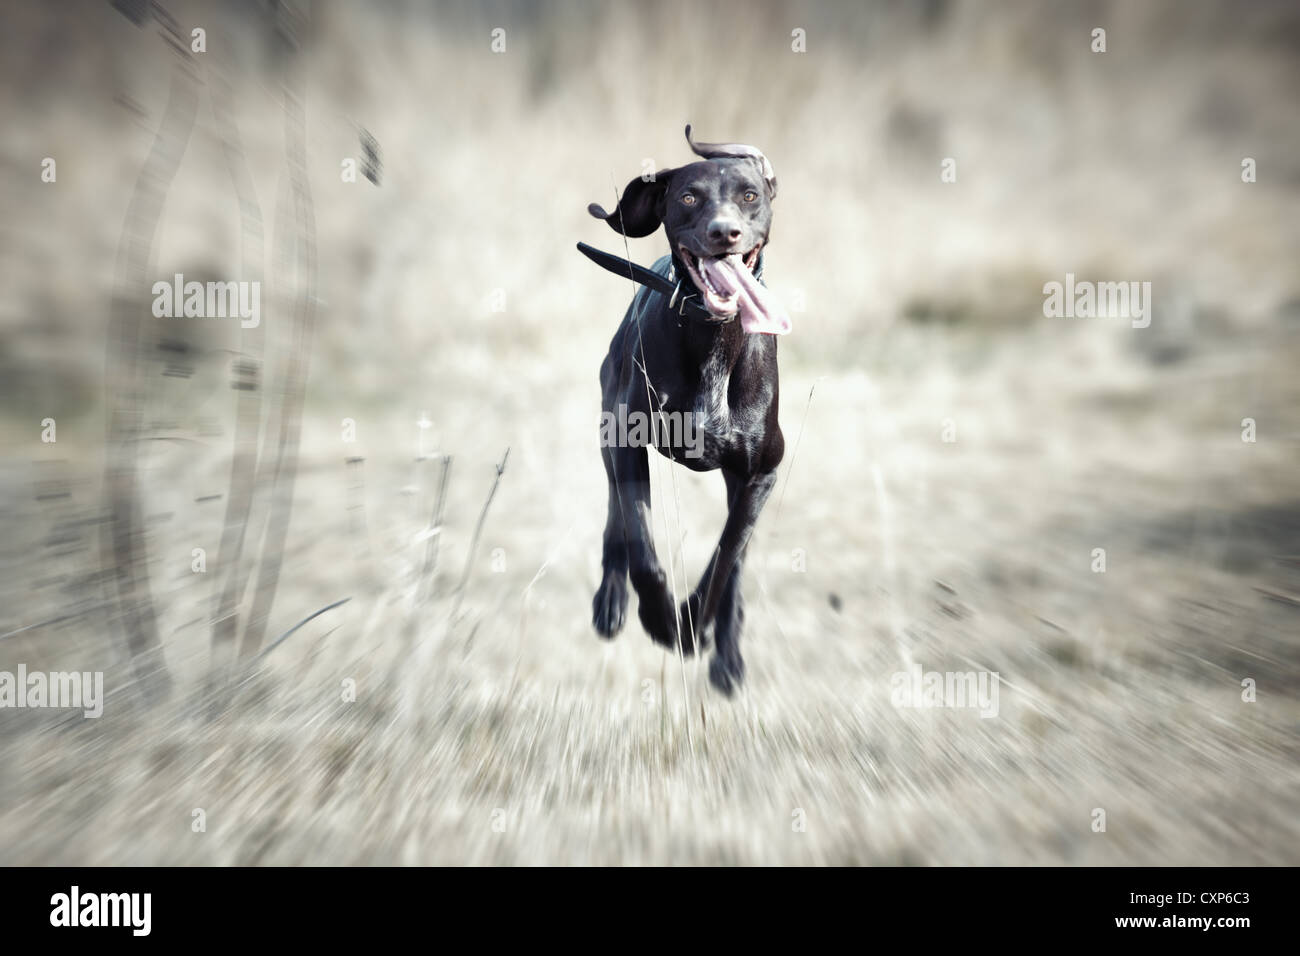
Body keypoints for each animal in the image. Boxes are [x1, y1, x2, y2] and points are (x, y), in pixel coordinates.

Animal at [585, 127, 785, 697]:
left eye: (749, 195)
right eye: (690, 197)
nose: (725, 232)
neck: (712, 335)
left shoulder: (760, 474)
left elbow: (724, 562)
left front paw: (694, 628)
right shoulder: (627, 444)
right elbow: (641, 544)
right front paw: (658, 619)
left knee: (735, 565)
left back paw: (727, 657)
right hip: (608, 428)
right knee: (615, 518)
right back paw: (612, 601)